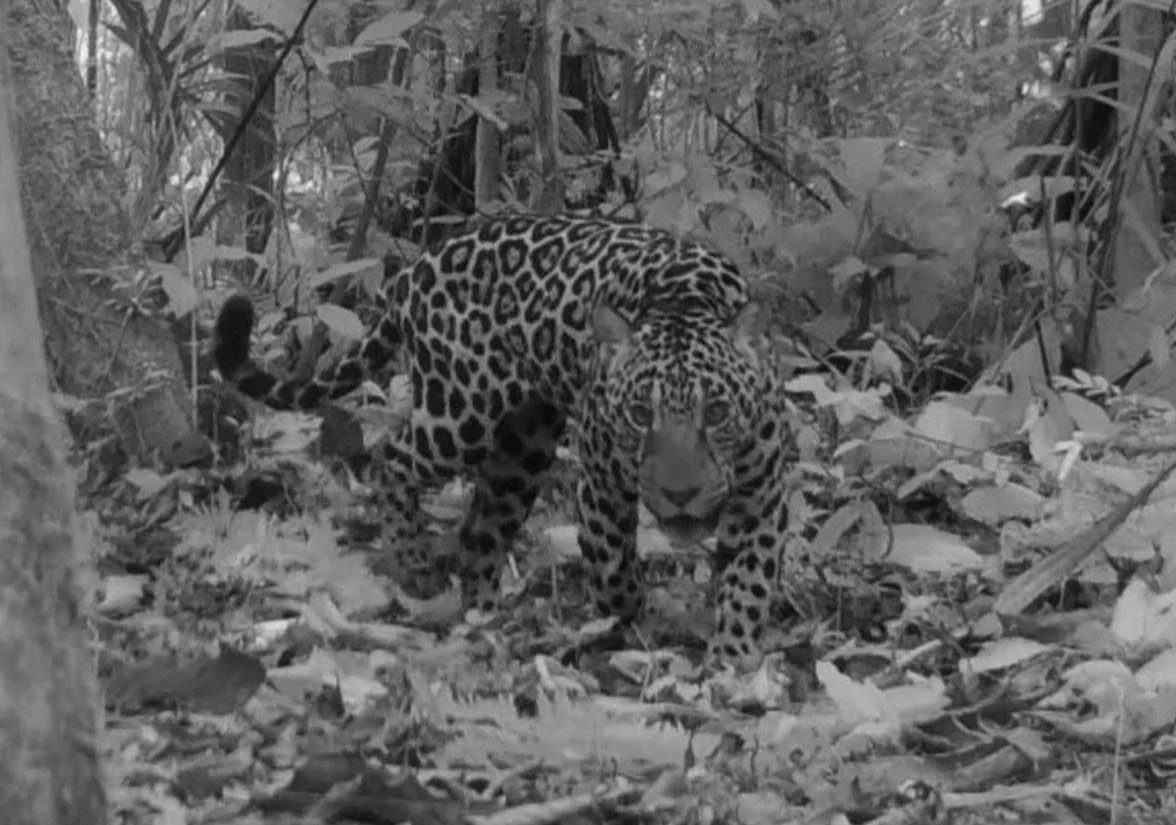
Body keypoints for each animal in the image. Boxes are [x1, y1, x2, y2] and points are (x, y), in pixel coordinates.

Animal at [215, 215, 796, 664]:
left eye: (716, 412)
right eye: (638, 414)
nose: (680, 495)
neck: (684, 302)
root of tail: (416, 269)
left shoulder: (762, 495)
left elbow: (749, 580)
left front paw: (734, 660)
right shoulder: (602, 485)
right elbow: (612, 565)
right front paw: (626, 623)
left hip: (523, 448)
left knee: (480, 530)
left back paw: (483, 615)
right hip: (460, 415)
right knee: (392, 455)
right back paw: (414, 563)